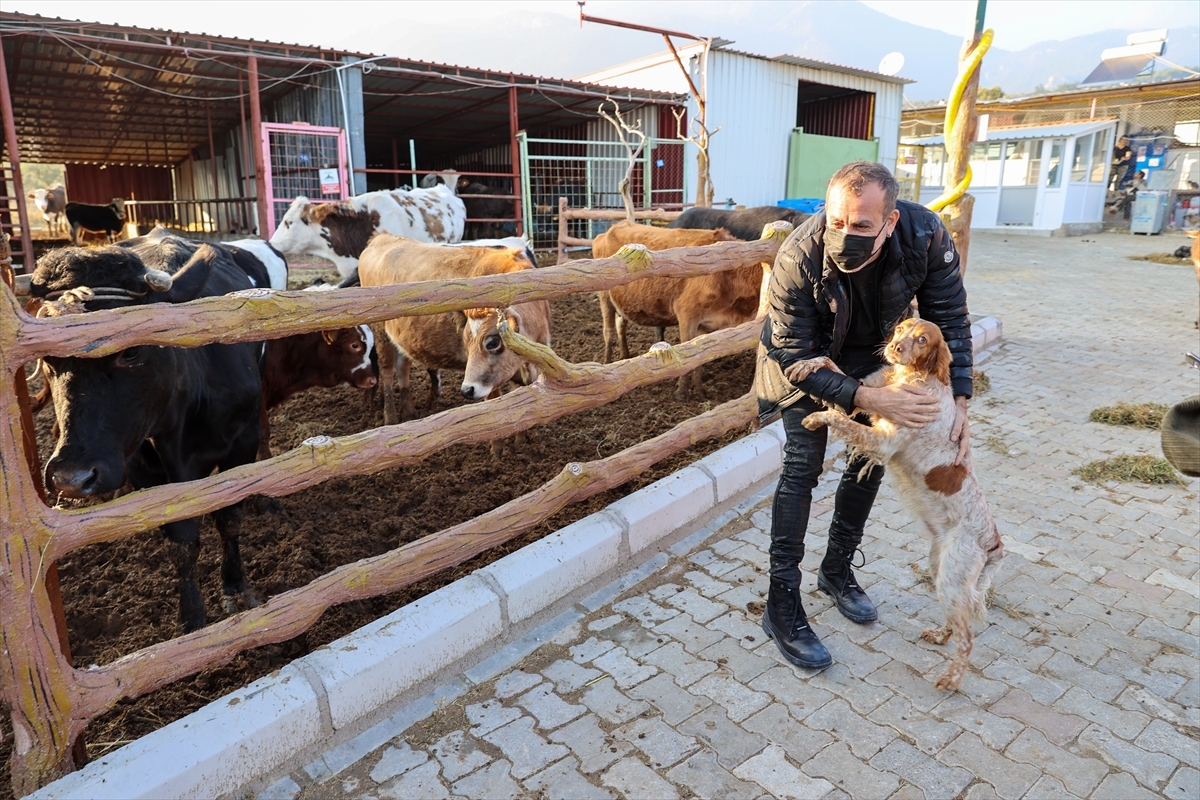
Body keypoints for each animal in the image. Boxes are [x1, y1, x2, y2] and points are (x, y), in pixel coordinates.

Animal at [33, 235, 265, 633]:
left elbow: (229, 518)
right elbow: (181, 540)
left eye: (131, 352)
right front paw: (191, 616)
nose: (70, 478)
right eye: (49, 357)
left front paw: (235, 584)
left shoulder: (242, 444)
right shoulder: (144, 468)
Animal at [355, 232, 552, 429]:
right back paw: (390, 418)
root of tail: (382, 237)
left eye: (493, 342)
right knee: (387, 372)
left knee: (402, 367)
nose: (467, 390)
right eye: (466, 343)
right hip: (381, 335)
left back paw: (409, 412)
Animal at [592, 220, 758, 400]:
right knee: (608, 331)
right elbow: (686, 350)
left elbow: (700, 354)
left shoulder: (705, 323)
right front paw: (682, 393)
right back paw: (607, 365)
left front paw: (699, 391)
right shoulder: (687, 312)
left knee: (620, 325)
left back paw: (624, 356)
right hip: (604, 295)